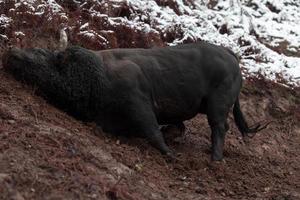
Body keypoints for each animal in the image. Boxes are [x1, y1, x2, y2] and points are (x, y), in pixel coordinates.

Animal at [2, 42, 264, 161]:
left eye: (41, 53)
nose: (11, 51)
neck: (98, 75)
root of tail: (230, 55)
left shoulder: (139, 104)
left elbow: (152, 131)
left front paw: (170, 155)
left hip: (217, 105)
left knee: (219, 127)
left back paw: (215, 159)